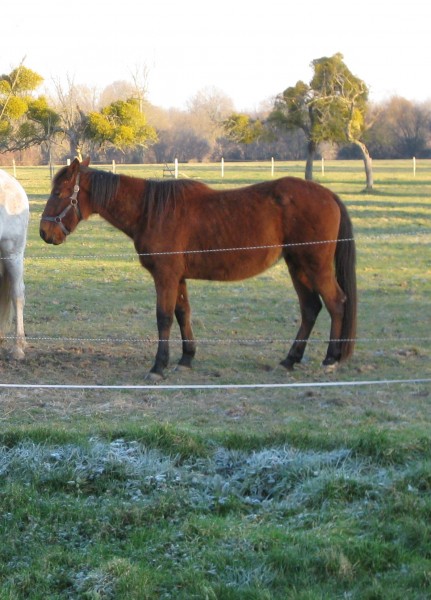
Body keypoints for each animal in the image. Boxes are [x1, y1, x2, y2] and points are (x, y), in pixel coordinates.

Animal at [40, 159, 358, 380]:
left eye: (59, 192)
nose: (44, 232)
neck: (150, 211)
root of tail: (328, 195)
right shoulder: (178, 278)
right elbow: (183, 314)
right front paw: (186, 359)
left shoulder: (166, 276)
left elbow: (164, 318)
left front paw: (158, 366)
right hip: (298, 266)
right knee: (310, 309)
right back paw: (290, 359)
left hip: (315, 266)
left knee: (336, 303)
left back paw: (330, 359)